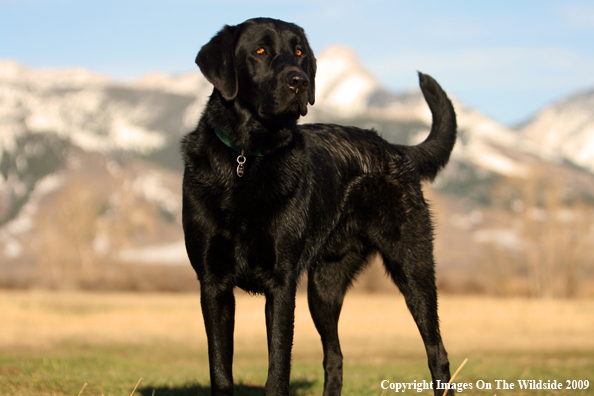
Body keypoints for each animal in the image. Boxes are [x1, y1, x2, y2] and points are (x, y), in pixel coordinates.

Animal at [180, 17, 454, 394]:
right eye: (260, 50)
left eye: (299, 52)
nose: (300, 81)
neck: (248, 159)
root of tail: (395, 149)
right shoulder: (213, 283)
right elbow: (221, 372)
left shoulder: (281, 285)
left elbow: (278, 368)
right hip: (323, 288)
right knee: (334, 356)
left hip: (413, 268)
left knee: (437, 352)